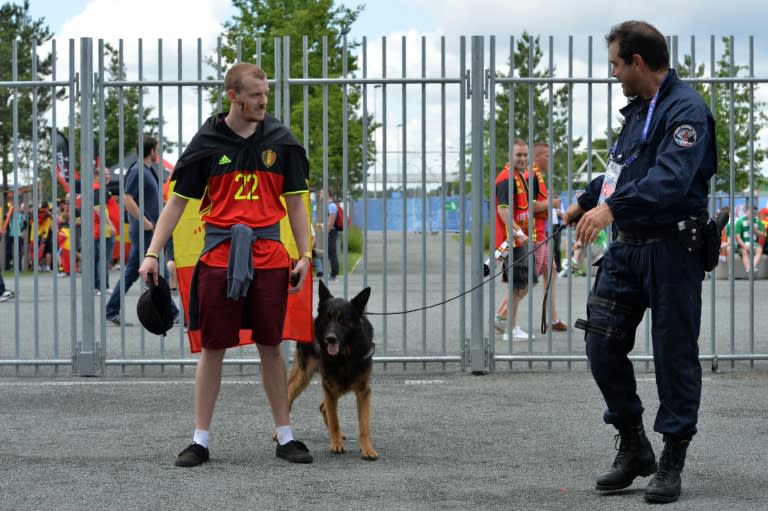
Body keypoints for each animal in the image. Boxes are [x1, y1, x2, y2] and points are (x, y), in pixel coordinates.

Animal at [284, 282, 378, 462]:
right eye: (328, 318)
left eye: (343, 320)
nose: (330, 338)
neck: (345, 355)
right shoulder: (330, 387)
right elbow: (334, 419)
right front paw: (336, 445)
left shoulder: (363, 391)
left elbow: (364, 425)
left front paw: (367, 449)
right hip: (305, 377)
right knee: (288, 397)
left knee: (323, 407)